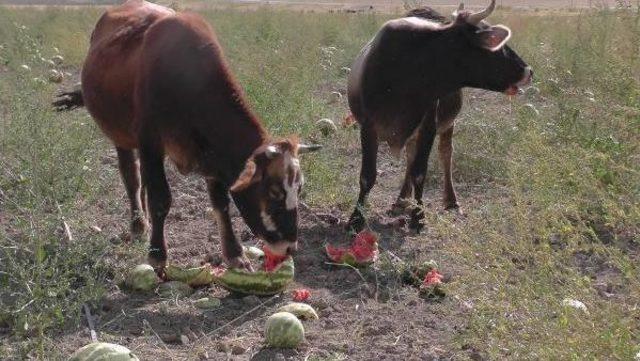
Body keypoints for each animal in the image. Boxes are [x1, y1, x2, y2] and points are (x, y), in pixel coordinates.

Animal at [53, 0, 318, 270]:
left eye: (300, 189)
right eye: (274, 192)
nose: (289, 247)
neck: (188, 80)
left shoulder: (211, 154)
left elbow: (221, 204)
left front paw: (234, 254)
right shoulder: (150, 142)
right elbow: (160, 199)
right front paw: (157, 254)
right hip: (121, 135)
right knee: (131, 177)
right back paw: (138, 224)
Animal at [348, 1, 532, 232]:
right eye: (499, 46)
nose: (529, 71)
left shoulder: (429, 125)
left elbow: (419, 172)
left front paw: (418, 216)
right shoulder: (368, 126)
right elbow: (367, 176)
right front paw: (356, 218)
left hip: (447, 124)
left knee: (445, 154)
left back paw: (449, 200)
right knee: (410, 156)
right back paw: (401, 200)